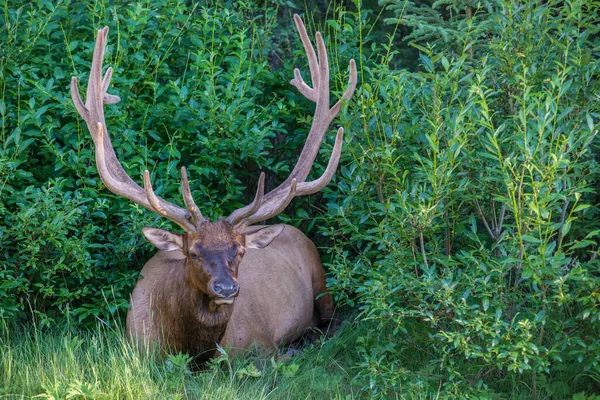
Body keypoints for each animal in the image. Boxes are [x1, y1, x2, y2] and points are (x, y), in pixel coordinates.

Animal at [72, 14, 358, 362]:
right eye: (193, 253)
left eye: (240, 251)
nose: (226, 289)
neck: (192, 350)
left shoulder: (260, 344)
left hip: (323, 282)